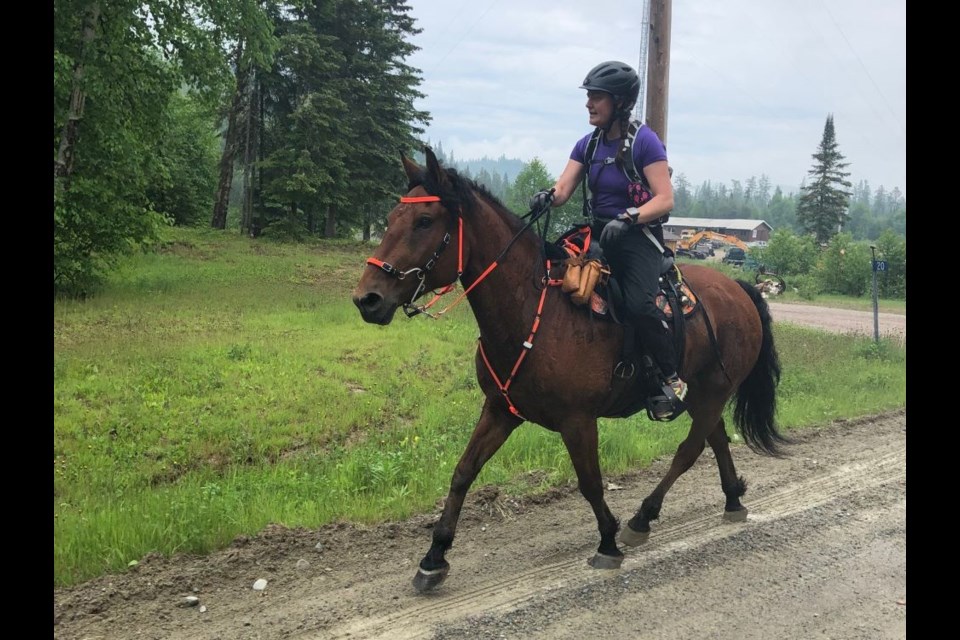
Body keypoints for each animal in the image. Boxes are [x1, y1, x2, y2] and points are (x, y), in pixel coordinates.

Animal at [352, 148, 788, 592]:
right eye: (390, 218)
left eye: (424, 221)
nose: (367, 298)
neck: (534, 311)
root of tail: (740, 290)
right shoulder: (500, 410)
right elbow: (463, 472)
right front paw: (434, 556)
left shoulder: (577, 420)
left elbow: (590, 482)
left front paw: (608, 542)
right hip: (705, 394)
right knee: (715, 439)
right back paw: (732, 498)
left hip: (713, 392)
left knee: (690, 449)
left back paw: (643, 517)